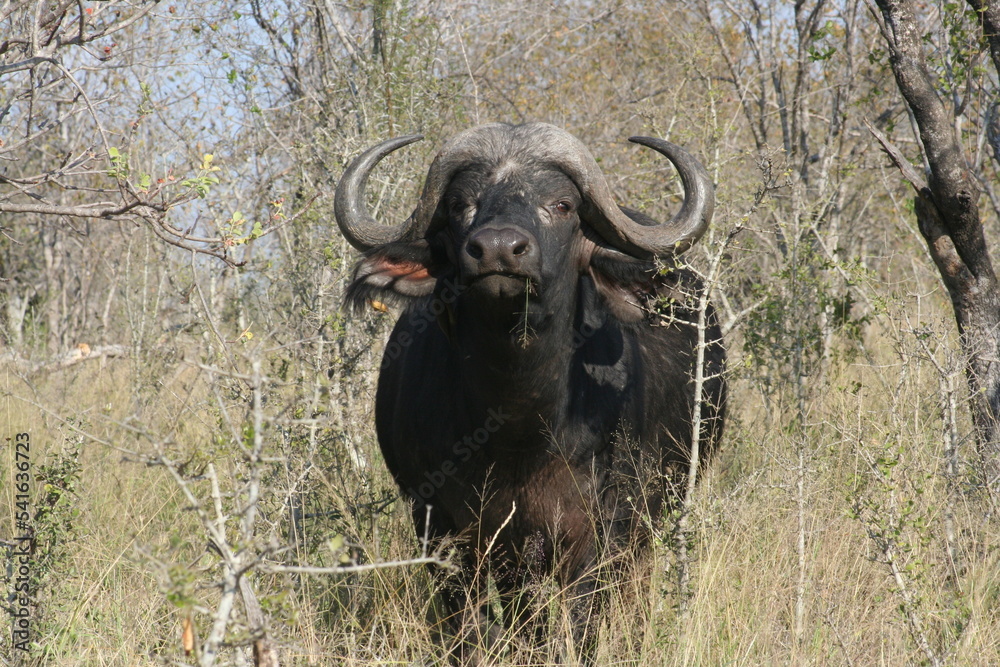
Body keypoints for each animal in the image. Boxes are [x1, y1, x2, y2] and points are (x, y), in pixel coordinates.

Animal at [334, 122, 726, 659]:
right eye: (460, 204)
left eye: (561, 204)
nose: (499, 249)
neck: (518, 429)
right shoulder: (441, 529)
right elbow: (473, 629)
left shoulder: (599, 531)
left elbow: (580, 626)